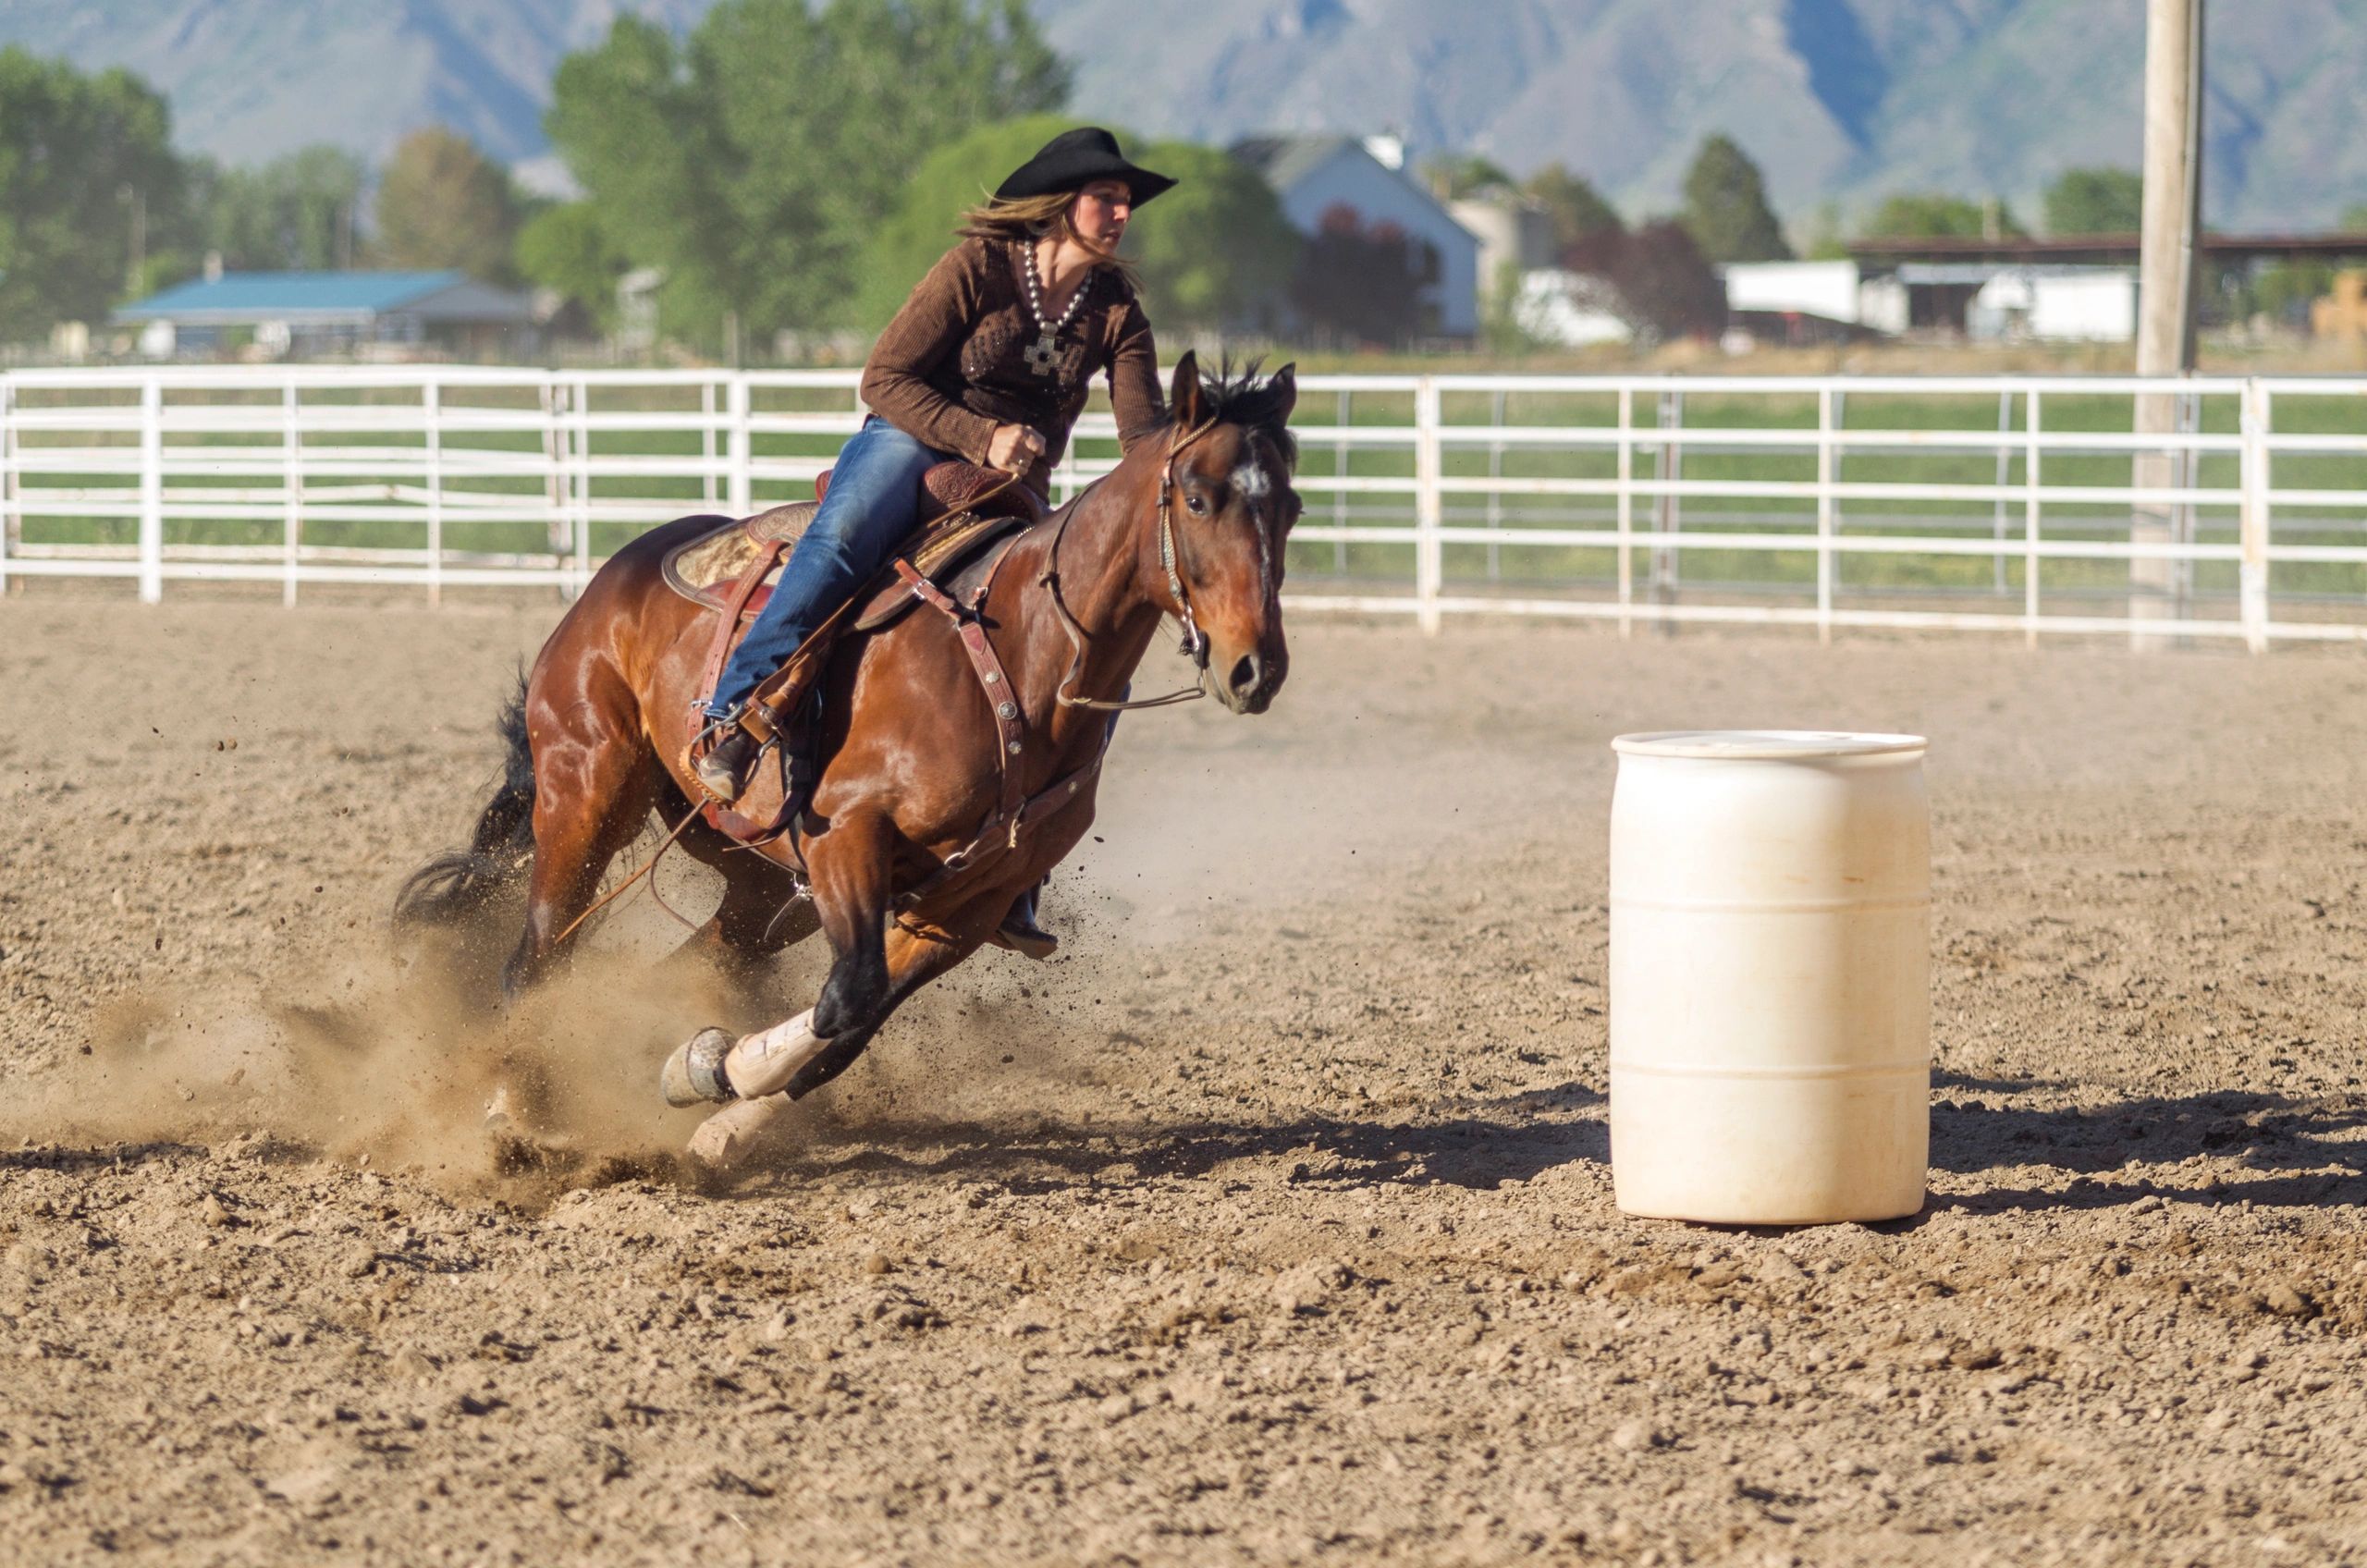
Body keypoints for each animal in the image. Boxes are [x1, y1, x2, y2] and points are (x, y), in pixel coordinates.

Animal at [396, 353, 1300, 1162]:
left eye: (1289, 506)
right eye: (1198, 498)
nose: (1255, 669)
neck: (1023, 657)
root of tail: (609, 581)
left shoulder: (965, 906)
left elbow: (849, 1026)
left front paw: (712, 1100)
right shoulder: (848, 839)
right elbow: (848, 999)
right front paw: (712, 1074)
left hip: (759, 876)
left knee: (701, 953)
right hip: (587, 796)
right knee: (536, 959)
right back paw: (512, 1121)